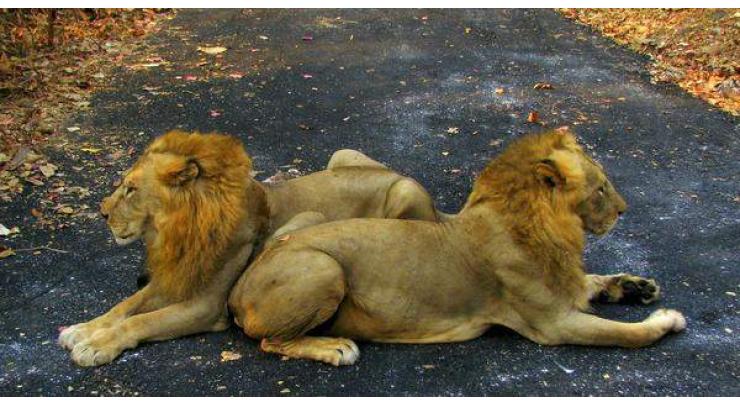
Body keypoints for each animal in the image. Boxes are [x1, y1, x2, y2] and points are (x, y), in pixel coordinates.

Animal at [58, 130, 443, 367]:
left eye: (132, 189)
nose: (102, 213)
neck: (175, 231)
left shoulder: (206, 305)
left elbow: (141, 321)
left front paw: (95, 345)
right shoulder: (175, 279)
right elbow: (127, 305)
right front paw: (82, 330)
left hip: (404, 191)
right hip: (341, 154)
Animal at [228, 129, 686, 366]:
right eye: (601, 189)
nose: (625, 210)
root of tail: (236, 289)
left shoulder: (563, 288)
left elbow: (590, 280)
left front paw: (636, 286)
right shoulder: (552, 324)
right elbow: (628, 335)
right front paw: (666, 320)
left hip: (312, 220)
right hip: (325, 268)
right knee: (270, 341)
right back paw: (335, 347)